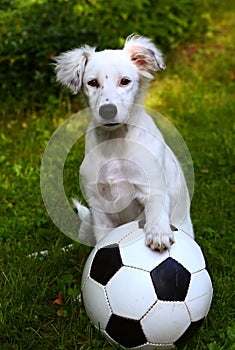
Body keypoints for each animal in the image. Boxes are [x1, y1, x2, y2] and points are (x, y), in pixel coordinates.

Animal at [55, 35, 195, 250]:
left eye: (125, 81)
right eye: (92, 83)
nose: (108, 111)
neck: (115, 142)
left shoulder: (152, 188)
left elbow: (155, 211)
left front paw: (158, 234)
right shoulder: (98, 206)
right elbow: (102, 239)